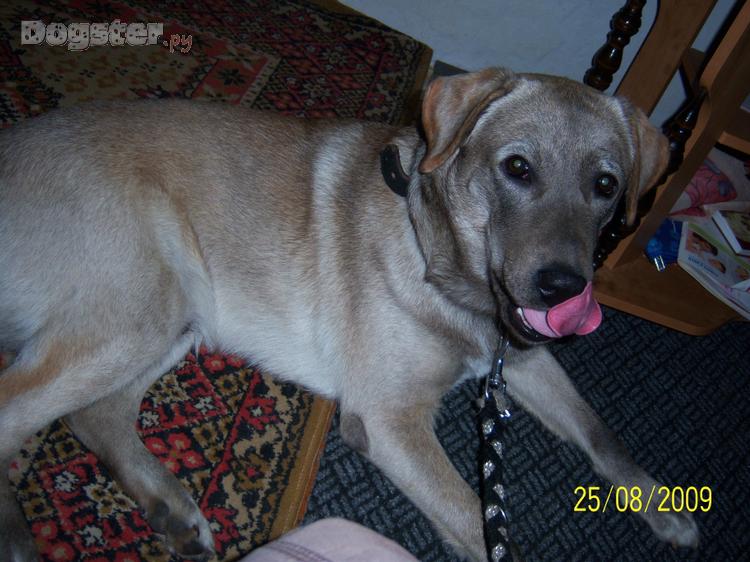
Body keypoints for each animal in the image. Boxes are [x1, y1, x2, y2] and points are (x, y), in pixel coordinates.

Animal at [0, 68, 699, 561]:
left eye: (606, 186)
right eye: (518, 168)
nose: (563, 289)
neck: (438, 256)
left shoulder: (521, 357)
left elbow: (600, 433)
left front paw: (661, 503)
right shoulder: (390, 419)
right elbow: (476, 519)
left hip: (181, 313)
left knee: (96, 417)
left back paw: (169, 508)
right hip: (144, 311)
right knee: (18, 413)